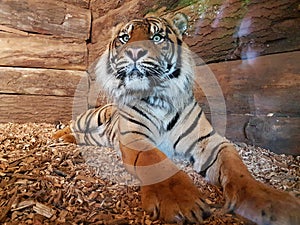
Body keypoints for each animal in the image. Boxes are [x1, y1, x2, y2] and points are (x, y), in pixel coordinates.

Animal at [52, 13, 298, 223]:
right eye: (124, 38)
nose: (134, 52)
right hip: (93, 116)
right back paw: (59, 137)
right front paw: (181, 201)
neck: (159, 97)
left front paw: (273, 203)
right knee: (72, 124)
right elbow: (156, 161)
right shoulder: (134, 136)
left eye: (156, 37)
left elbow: (238, 171)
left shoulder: (210, 141)